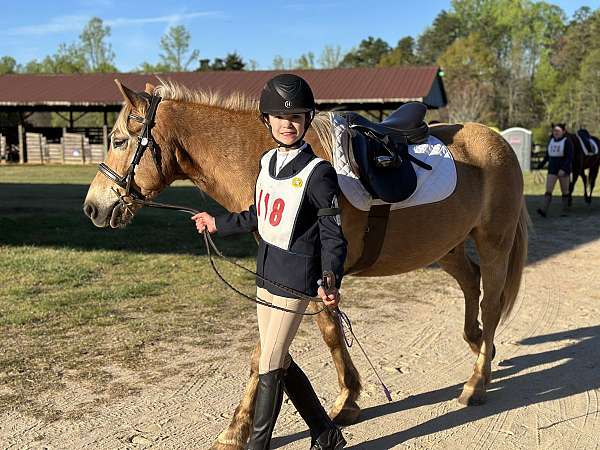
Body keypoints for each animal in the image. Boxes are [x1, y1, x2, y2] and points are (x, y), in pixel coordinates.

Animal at [82, 81, 528, 450]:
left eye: (118, 140)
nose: (93, 208)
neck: (273, 161)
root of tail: (499, 142)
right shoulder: (303, 280)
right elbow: (327, 335)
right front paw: (348, 400)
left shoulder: (302, 277)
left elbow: (264, 353)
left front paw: (234, 432)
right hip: (446, 246)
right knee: (471, 284)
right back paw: (478, 346)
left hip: (493, 241)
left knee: (490, 303)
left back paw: (477, 382)